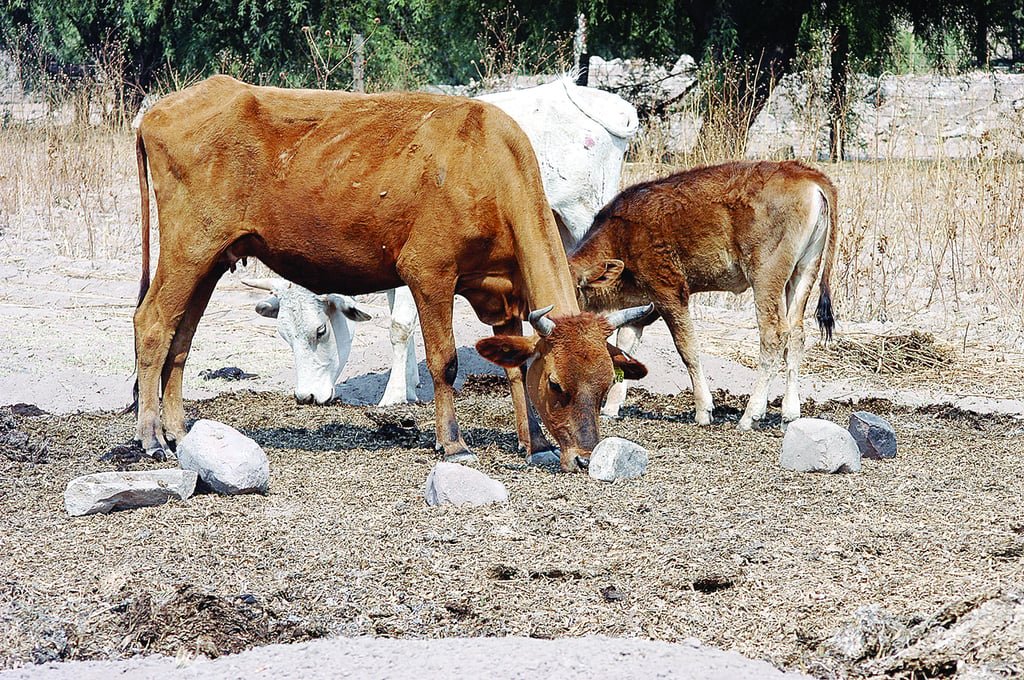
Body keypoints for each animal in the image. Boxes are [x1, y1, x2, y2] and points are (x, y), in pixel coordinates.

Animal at [249, 76, 638, 405]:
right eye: (284, 335)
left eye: (320, 331)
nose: (306, 397)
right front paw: (409, 384)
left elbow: (399, 325)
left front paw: (393, 395)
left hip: (586, 215)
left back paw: (614, 396)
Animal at [569, 159, 839, 430]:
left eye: (572, 287)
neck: (620, 234)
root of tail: (806, 175)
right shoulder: (644, 305)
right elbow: (625, 345)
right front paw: (611, 408)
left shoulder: (670, 294)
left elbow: (686, 348)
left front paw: (703, 411)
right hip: (804, 270)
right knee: (796, 333)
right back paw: (789, 415)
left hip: (765, 277)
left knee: (774, 334)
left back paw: (750, 415)